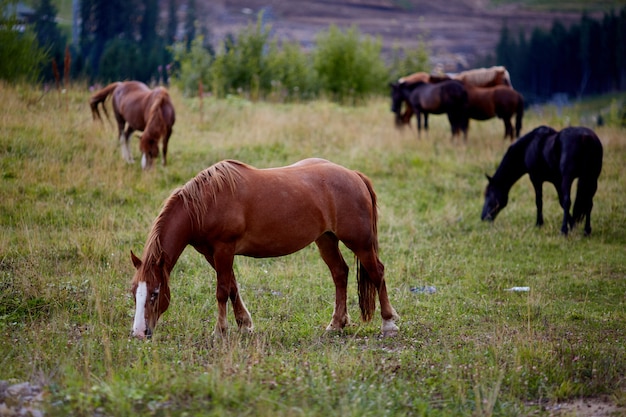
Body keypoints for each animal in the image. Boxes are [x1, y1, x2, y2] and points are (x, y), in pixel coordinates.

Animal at [130, 158, 400, 338]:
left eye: (155, 293)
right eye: (135, 293)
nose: (139, 333)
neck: (206, 202)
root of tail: (354, 175)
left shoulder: (224, 250)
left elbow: (222, 291)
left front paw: (220, 330)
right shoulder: (212, 254)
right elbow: (232, 288)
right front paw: (244, 324)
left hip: (360, 243)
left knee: (377, 271)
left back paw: (388, 322)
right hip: (326, 239)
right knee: (339, 274)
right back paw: (336, 323)